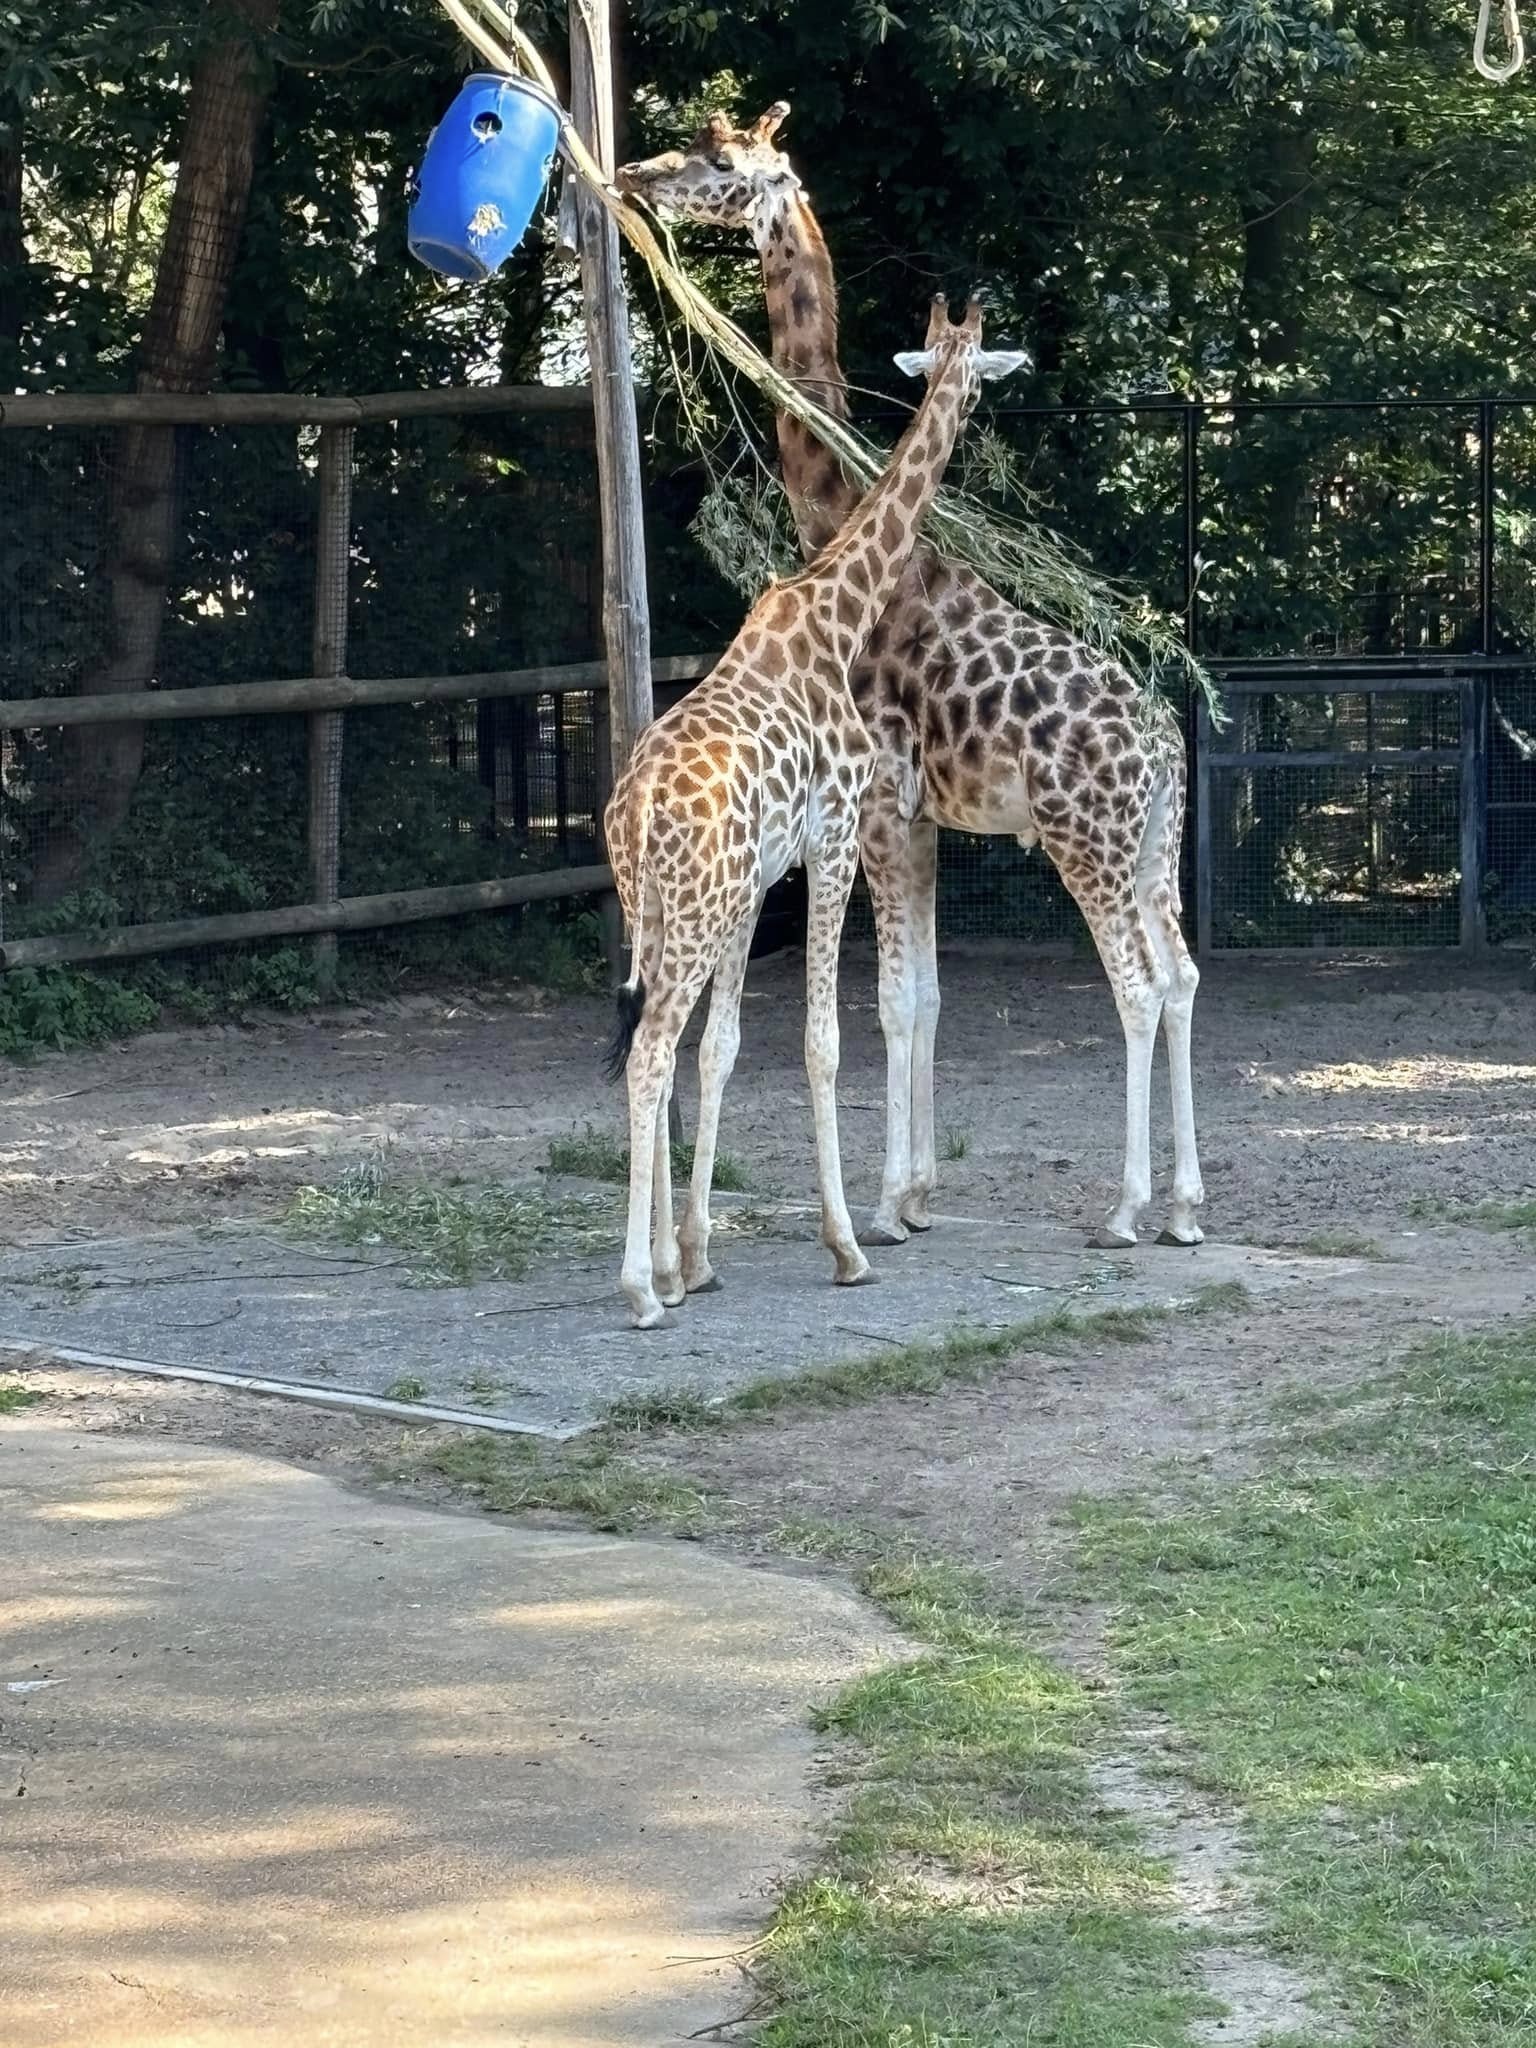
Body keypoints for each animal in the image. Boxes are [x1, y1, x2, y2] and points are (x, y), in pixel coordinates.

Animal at [604, 295, 1027, 1329]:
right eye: (976, 371)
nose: (974, 407)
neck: (836, 611)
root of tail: (636, 812)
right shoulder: (832, 844)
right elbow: (823, 1041)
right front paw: (846, 1247)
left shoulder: (759, 883)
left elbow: (723, 1050)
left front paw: (695, 1257)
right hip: (693, 914)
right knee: (646, 1056)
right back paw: (635, 1291)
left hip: (667, 910)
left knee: (659, 1052)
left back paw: (655, 1275)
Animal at [618, 106, 1207, 1256]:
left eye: (718, 159)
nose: (630, 173)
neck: (839, 520)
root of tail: (1163, 746)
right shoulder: (925, 819)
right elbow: (926, 999)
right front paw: (919, 1192)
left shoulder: (883, 810)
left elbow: (890, 1002)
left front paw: (885, 1207)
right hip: (1154, 847)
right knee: (1183, 976)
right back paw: (1186, 1206)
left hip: (1086, 840)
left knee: (1136, 986)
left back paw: (1125, 1209)